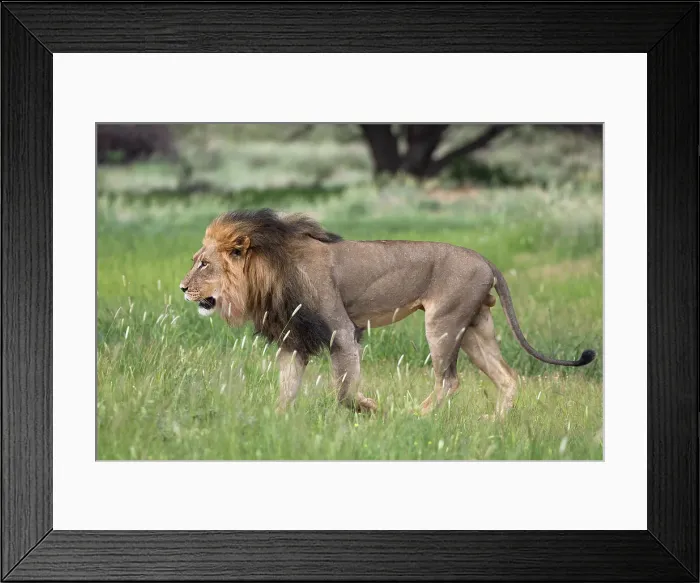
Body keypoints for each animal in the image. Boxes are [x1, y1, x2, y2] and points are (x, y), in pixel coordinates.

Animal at [180, 208, 596, 418]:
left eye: (204, 264)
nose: (182, 288)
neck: (267, 274)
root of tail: (485, 259)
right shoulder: (293, 341)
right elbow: (288, 388)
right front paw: (277, 420)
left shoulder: (341, 333)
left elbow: (344, 391)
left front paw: (371, 408)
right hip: (473, 329)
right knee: (507, 378)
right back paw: (494, 424)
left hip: (442, 323)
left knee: (449, 380)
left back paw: (417, 416)